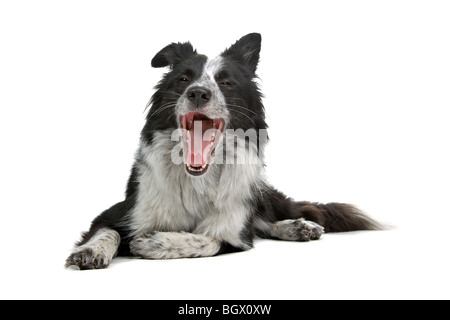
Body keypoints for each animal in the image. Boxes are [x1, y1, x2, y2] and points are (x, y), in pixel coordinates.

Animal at [64, 33, 380, 268]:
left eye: (226, 83)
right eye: (183, 79)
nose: (198, 93)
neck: (196, 180)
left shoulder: (234, 233)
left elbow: (209, 238)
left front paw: (154, 242)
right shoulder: (118, 212)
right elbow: (106, 232)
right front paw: (91, 251)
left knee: (273, 216)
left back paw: (300, 226)